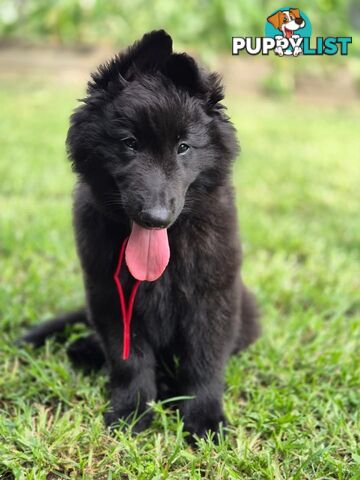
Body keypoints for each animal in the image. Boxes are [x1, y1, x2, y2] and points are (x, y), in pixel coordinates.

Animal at [22, 30, 258, 440]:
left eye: (183, 147)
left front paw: (204, 417)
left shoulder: (212, 298)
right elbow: (129, 361)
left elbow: (204, 362)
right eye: (129, 143)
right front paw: (131, 412)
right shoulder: (109, 295)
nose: (155, 218)